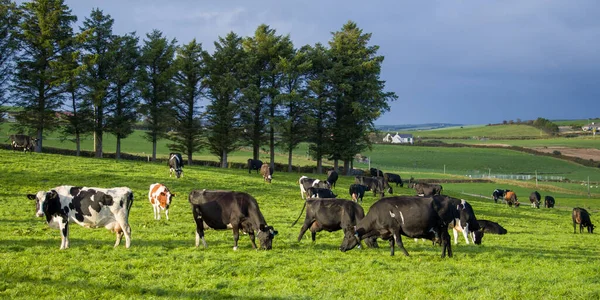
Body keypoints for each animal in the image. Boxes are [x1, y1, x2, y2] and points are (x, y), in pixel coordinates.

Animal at [338, 196, 468, 256]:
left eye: (347, 236)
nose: (340, 248)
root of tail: (448, 198)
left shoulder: (395, 228)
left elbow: (399, 243)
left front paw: (407, 255)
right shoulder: (388, 231)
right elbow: (392, 243)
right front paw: (392, 255)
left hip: (443, 226)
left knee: (445, 240)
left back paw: (442, 256)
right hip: (443, 228)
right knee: (448, 239)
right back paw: (450, 255)